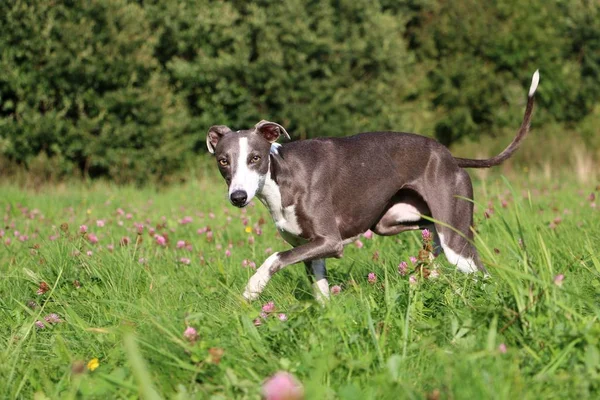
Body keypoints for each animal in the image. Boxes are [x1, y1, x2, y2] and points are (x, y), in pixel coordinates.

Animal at [205, 70, 540, 300]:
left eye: (255, 158)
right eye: (223, 161)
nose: (238, 197)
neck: (284, 175)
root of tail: (449, 157)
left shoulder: (330, 241)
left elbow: (274, 258)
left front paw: (253, 288)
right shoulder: (311, 248)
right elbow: (322, 294)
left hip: (455, 237)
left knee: (482, 275)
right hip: (394, 222)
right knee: (432, 244)